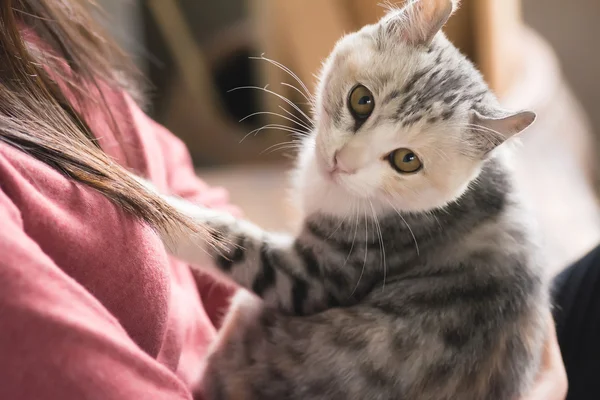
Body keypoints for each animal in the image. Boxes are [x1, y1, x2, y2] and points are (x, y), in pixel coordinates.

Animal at [158, 0, 548, 400]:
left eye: (407, 160)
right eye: (362, 100)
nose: (341, 162)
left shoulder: (325, 272)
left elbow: (230, 242)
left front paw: (150, 202)